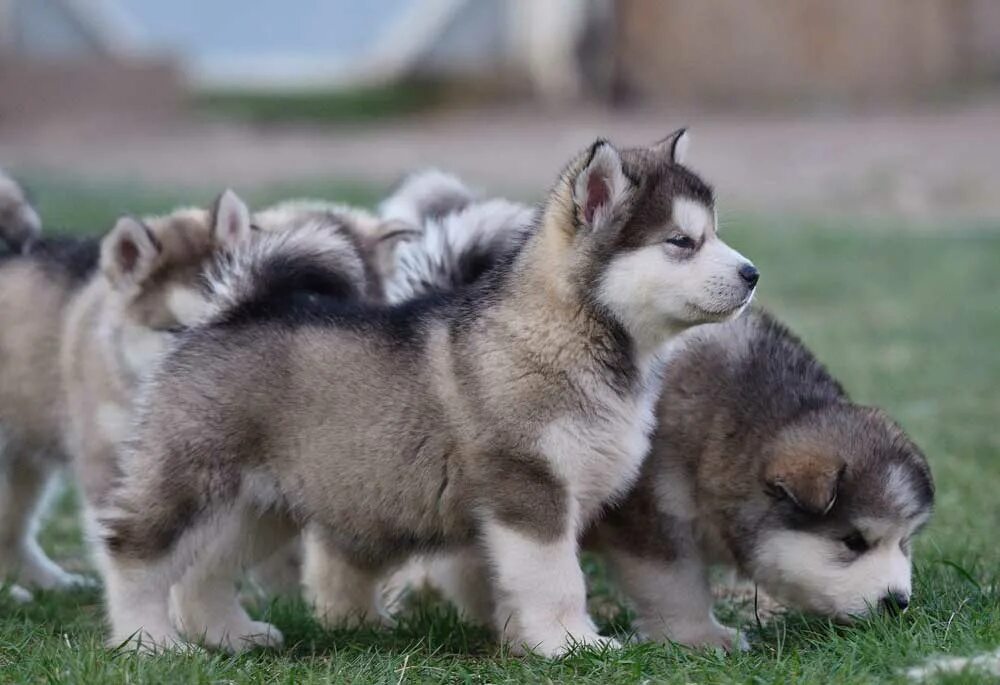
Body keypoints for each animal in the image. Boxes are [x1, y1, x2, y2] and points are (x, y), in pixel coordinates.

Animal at [99, 132, 756, 652]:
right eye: (681, 241)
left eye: (716, 233)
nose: (751, 273)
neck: (570, 336)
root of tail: (228, 312)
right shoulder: (530, 488)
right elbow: (557, 578)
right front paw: (575, 645)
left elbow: (514, 582)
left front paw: (526, 644)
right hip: (192, 478)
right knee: (135, 553)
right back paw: (148, 641)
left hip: (260, 504)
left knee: (203, 570)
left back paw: (230, 635)